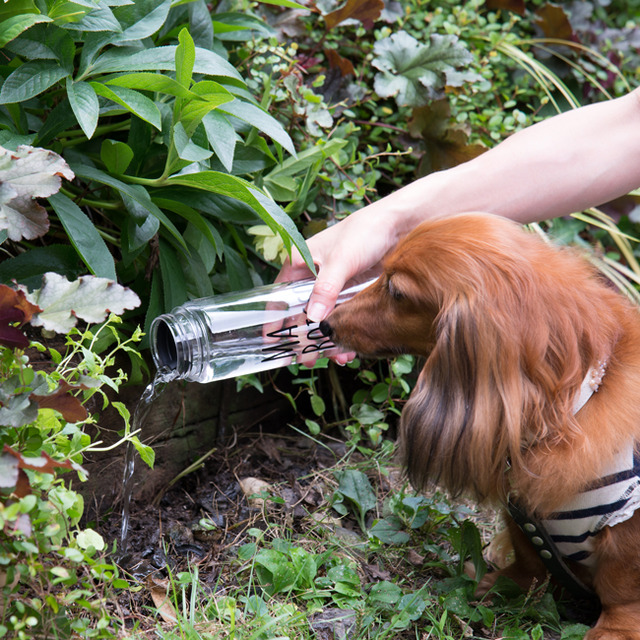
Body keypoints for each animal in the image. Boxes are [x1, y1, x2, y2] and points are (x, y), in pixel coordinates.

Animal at [320, 212, 640, 636]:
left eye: (397, 291)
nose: (325, 324)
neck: (568, 405)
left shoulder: (627, 529)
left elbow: (622, 585)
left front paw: (614, 629)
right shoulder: (523, 517)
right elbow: (531, 558)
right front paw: (505, 586)